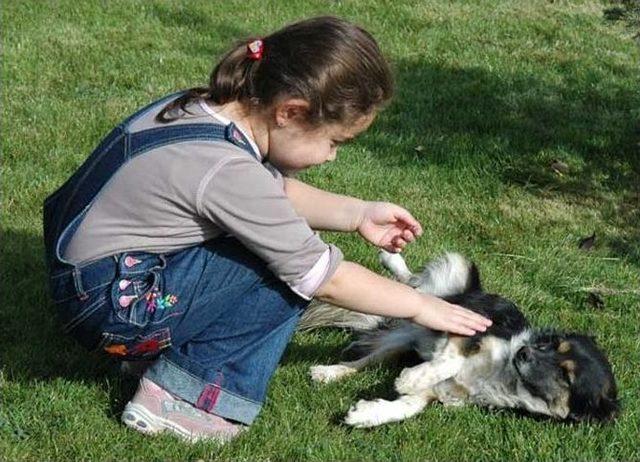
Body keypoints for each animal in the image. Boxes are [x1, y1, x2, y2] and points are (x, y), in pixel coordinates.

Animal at [300, 251, 620, 428]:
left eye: (566, 375)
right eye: (551, 345)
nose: (524, 352)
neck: (504, 376)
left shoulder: (440, 393)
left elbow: (409, 407)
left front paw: (366, 414)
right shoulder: (473, 327)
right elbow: (449, 362)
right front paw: (408, 379)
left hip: (402, 339)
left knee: (365, 358)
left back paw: (329, 373)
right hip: (454, 274)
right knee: (413, 284)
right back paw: (391, 258)